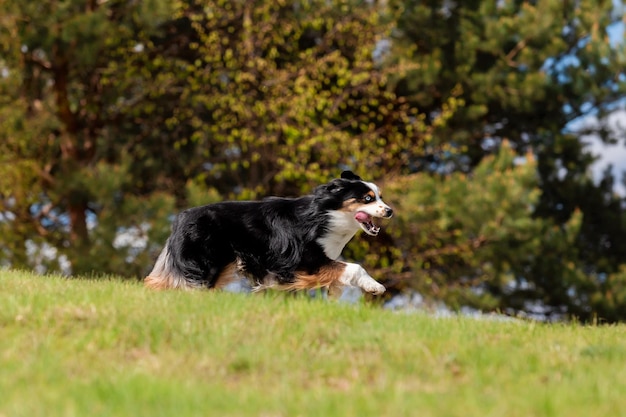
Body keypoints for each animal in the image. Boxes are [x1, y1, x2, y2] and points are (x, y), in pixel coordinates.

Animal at [144, 171, 392, 294]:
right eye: (367, 198)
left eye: (380, 196)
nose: (389, 211)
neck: (326, 216)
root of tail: (180, 219)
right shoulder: (304, 262)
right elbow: (354, 267)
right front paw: (376, 287)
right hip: (202, 264)